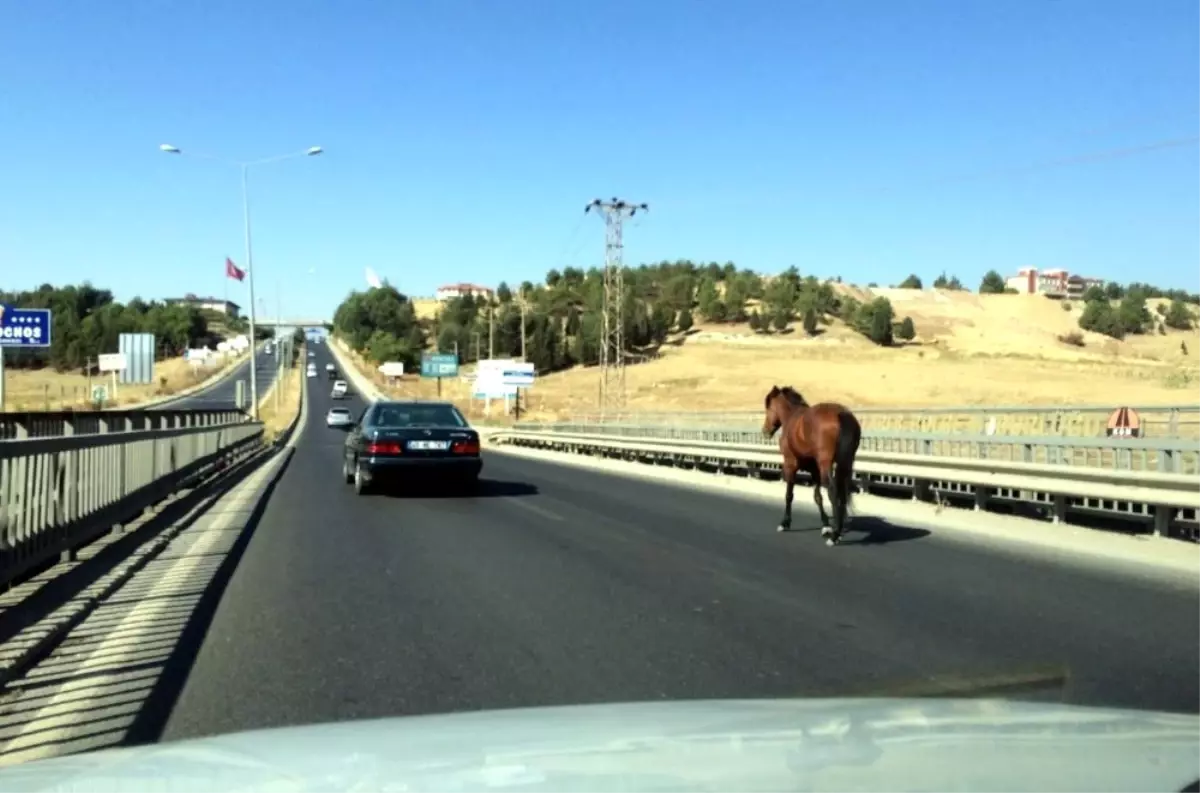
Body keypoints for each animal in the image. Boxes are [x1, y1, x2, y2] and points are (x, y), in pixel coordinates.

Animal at [758, 383, 864, 544]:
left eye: (768, 408)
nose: (765, 431)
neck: (791, 417)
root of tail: (842, 415)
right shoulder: (814, 469)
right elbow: (817, 497)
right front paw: (826, 526)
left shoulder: (790, 464)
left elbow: (789, 494)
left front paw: (785, 523)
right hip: (846, 462)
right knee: (842, 493)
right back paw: (837, 530)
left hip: (826, 464)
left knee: (833, 491)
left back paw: (835, 536)